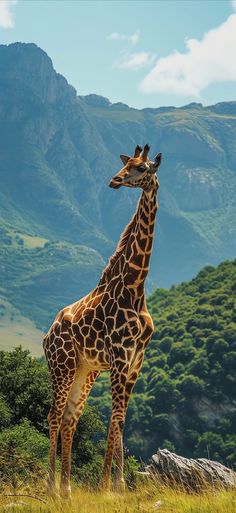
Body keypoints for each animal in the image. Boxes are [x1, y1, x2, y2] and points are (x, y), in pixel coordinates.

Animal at [43, 144, 162, 496]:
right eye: (126, 165)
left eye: (141, 168)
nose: (115, 180)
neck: (136, 286)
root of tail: (46, 336)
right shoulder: (120, 357)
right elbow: (115, 418)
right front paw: (109, 486)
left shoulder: (136, 361)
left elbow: (120, 420)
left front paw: (119, 485)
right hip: (63, 366)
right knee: (54, 416)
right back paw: (51, 487)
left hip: (86, 370)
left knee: (69, 418)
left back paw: (67, 489)